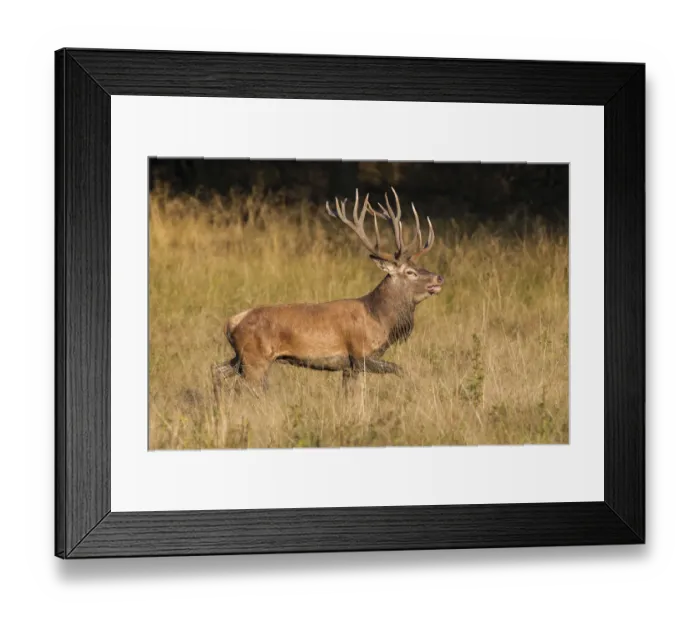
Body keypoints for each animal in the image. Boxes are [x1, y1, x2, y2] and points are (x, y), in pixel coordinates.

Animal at [212, 187, 444, 397]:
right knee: (242, 388)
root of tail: (231, 323)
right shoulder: (360, 354)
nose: (439, 277)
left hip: (241, 358)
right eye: (411, 272)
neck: (379, 318)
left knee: (217, 370)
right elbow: (400, 370)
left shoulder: (350, 366)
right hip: (255, 358)